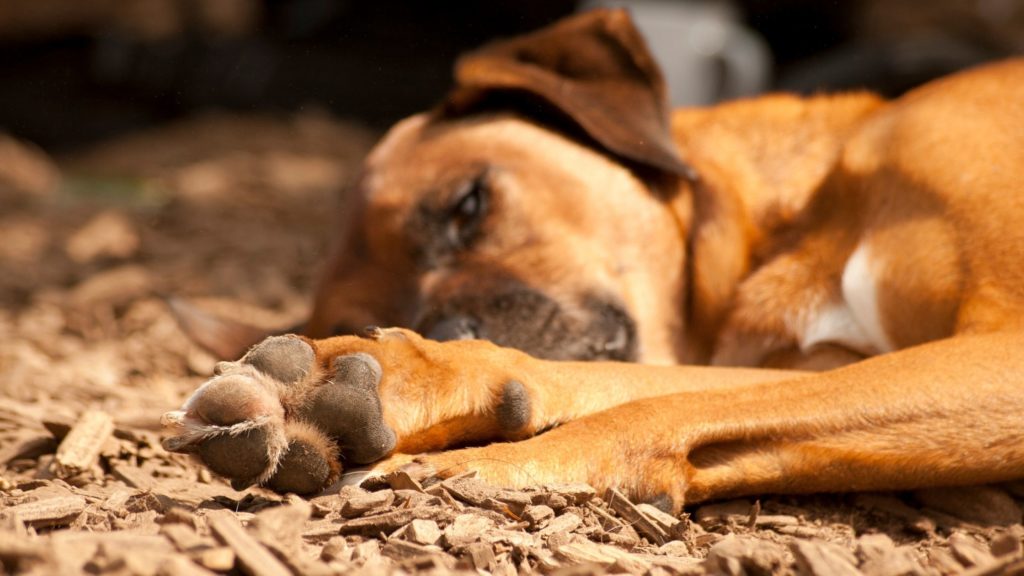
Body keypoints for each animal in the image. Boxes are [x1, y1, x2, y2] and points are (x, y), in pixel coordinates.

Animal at [161, 8, 1024, 508]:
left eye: (468, 205)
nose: (449, 325)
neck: (800, 212)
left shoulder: (1001, 347)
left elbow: (662, 403)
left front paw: (490, 458)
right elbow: (669, 388)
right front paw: (405, 381)